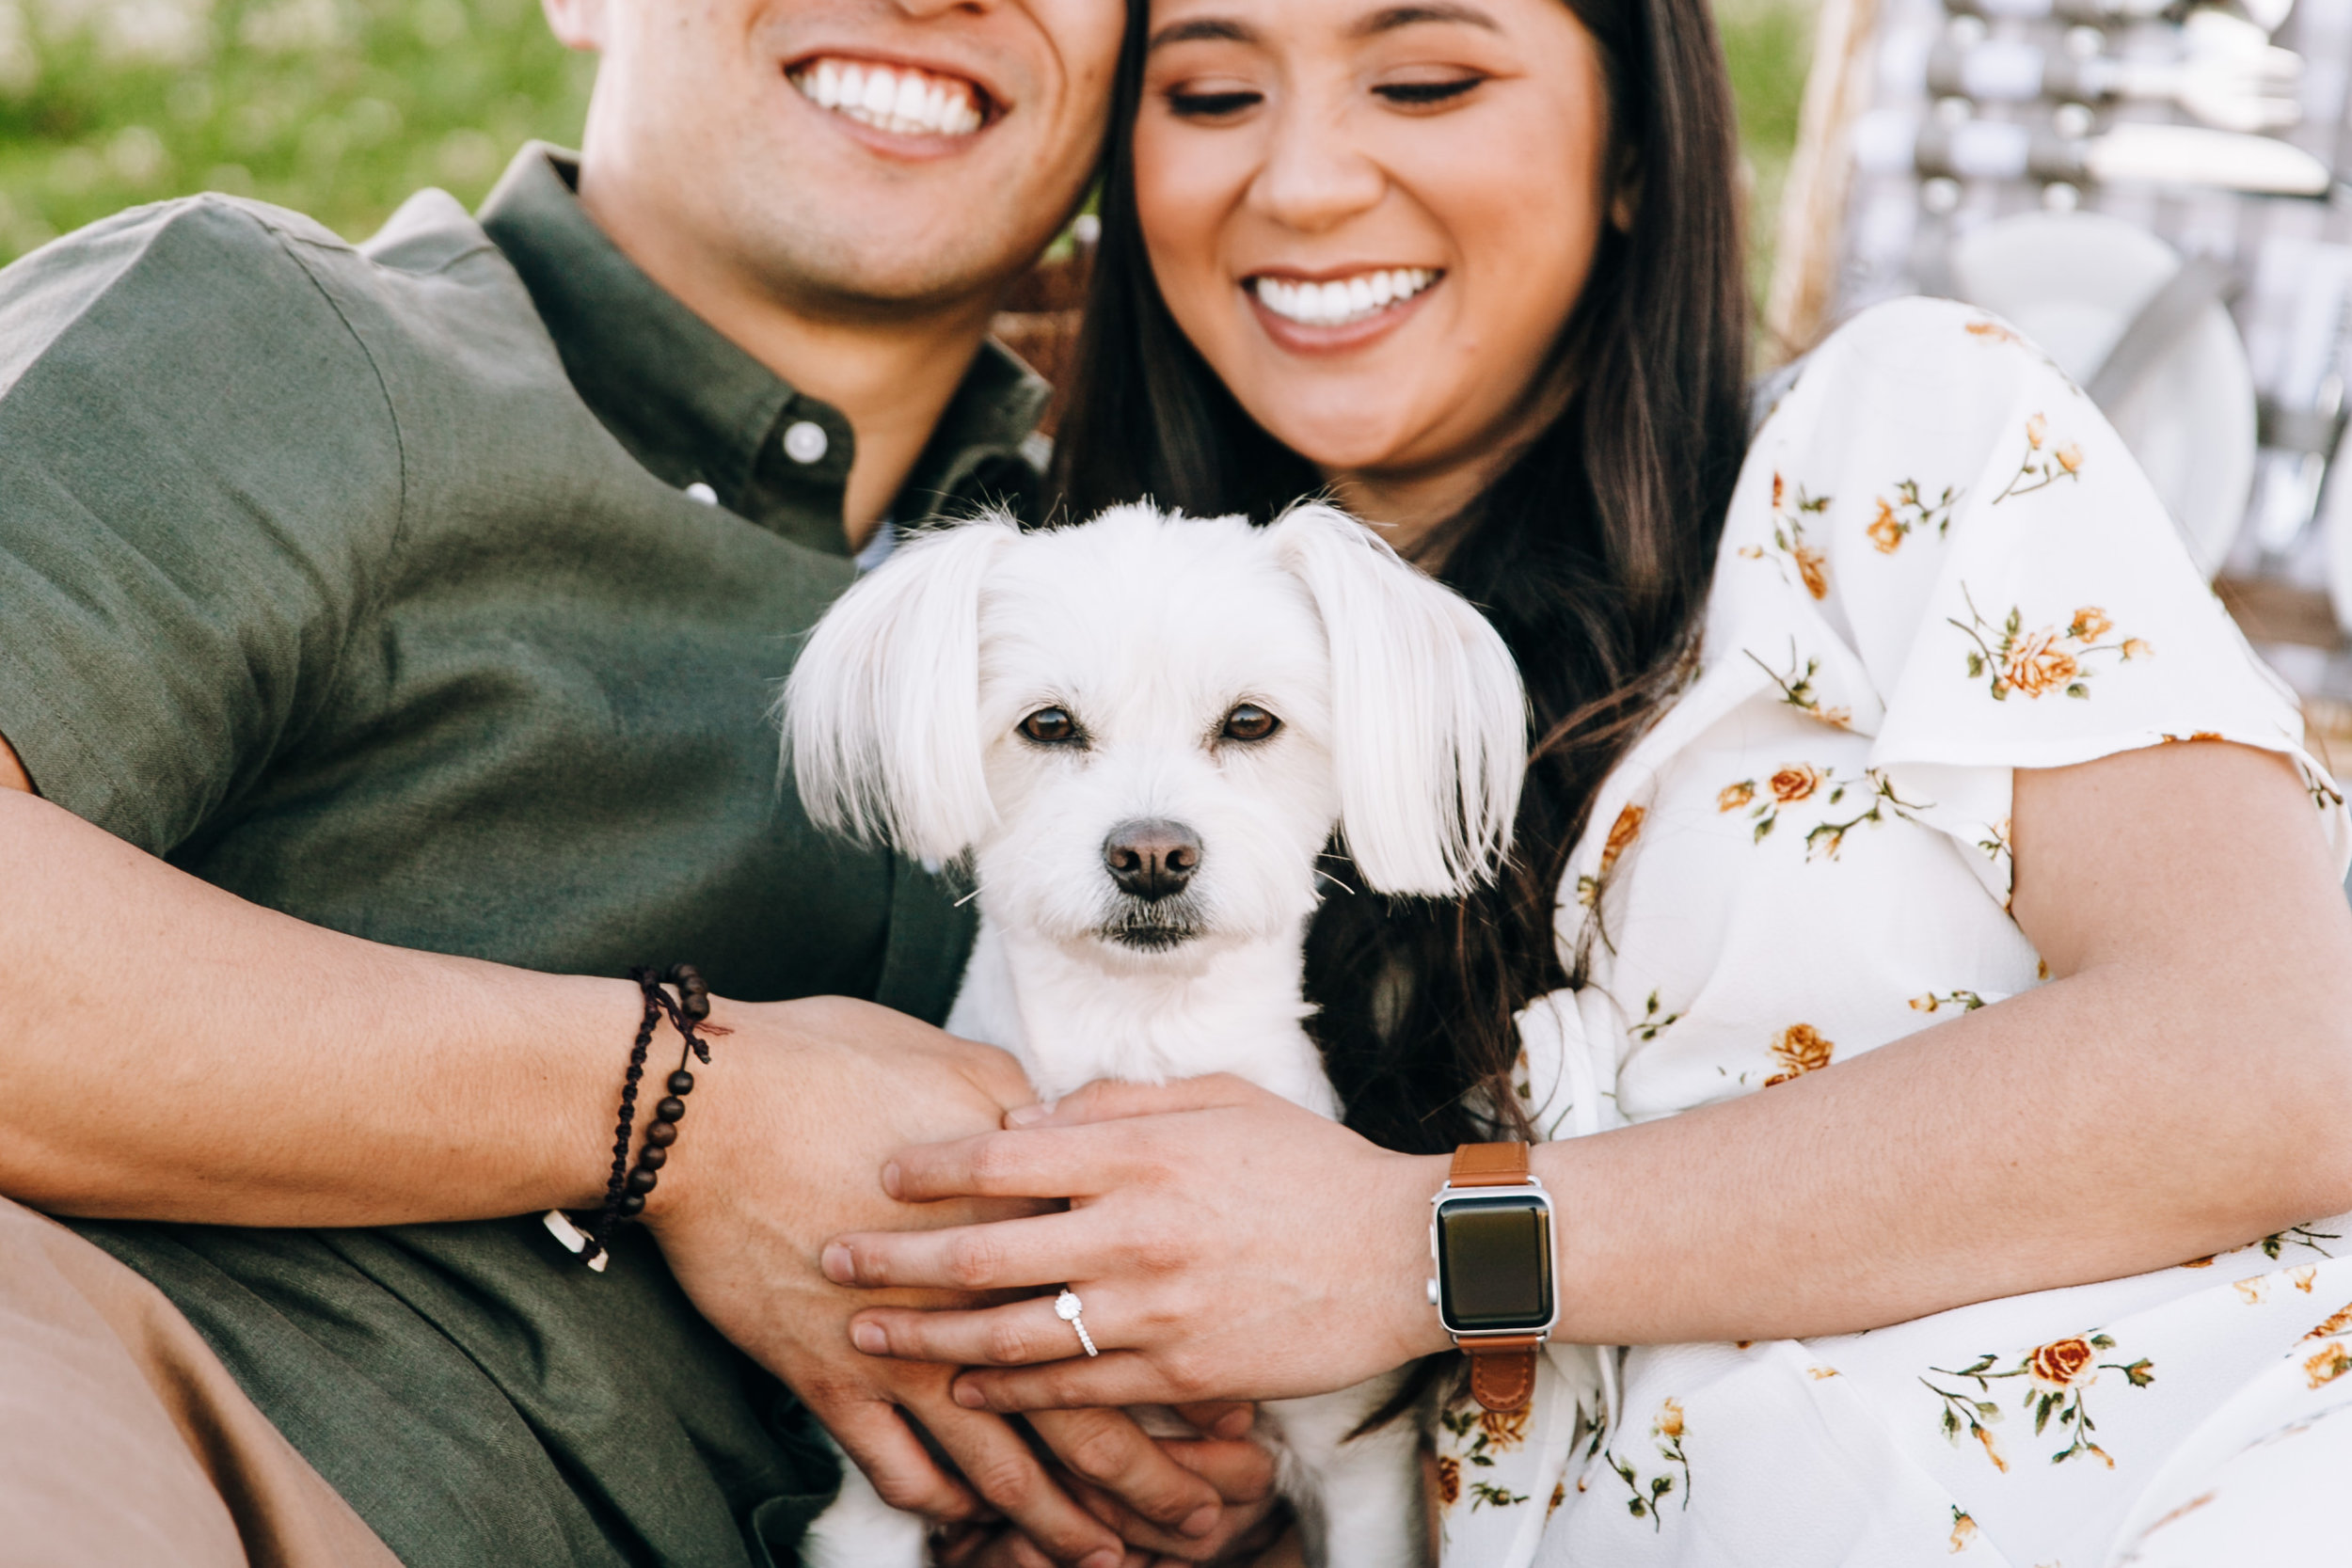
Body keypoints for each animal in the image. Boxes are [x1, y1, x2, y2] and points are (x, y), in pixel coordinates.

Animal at [781, 502, 1534, 1568]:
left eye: (1251, 721)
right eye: (1048, 724)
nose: (1150, 853)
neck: (1139, 1039)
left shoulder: (1352, 1462)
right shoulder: (883, 1486)